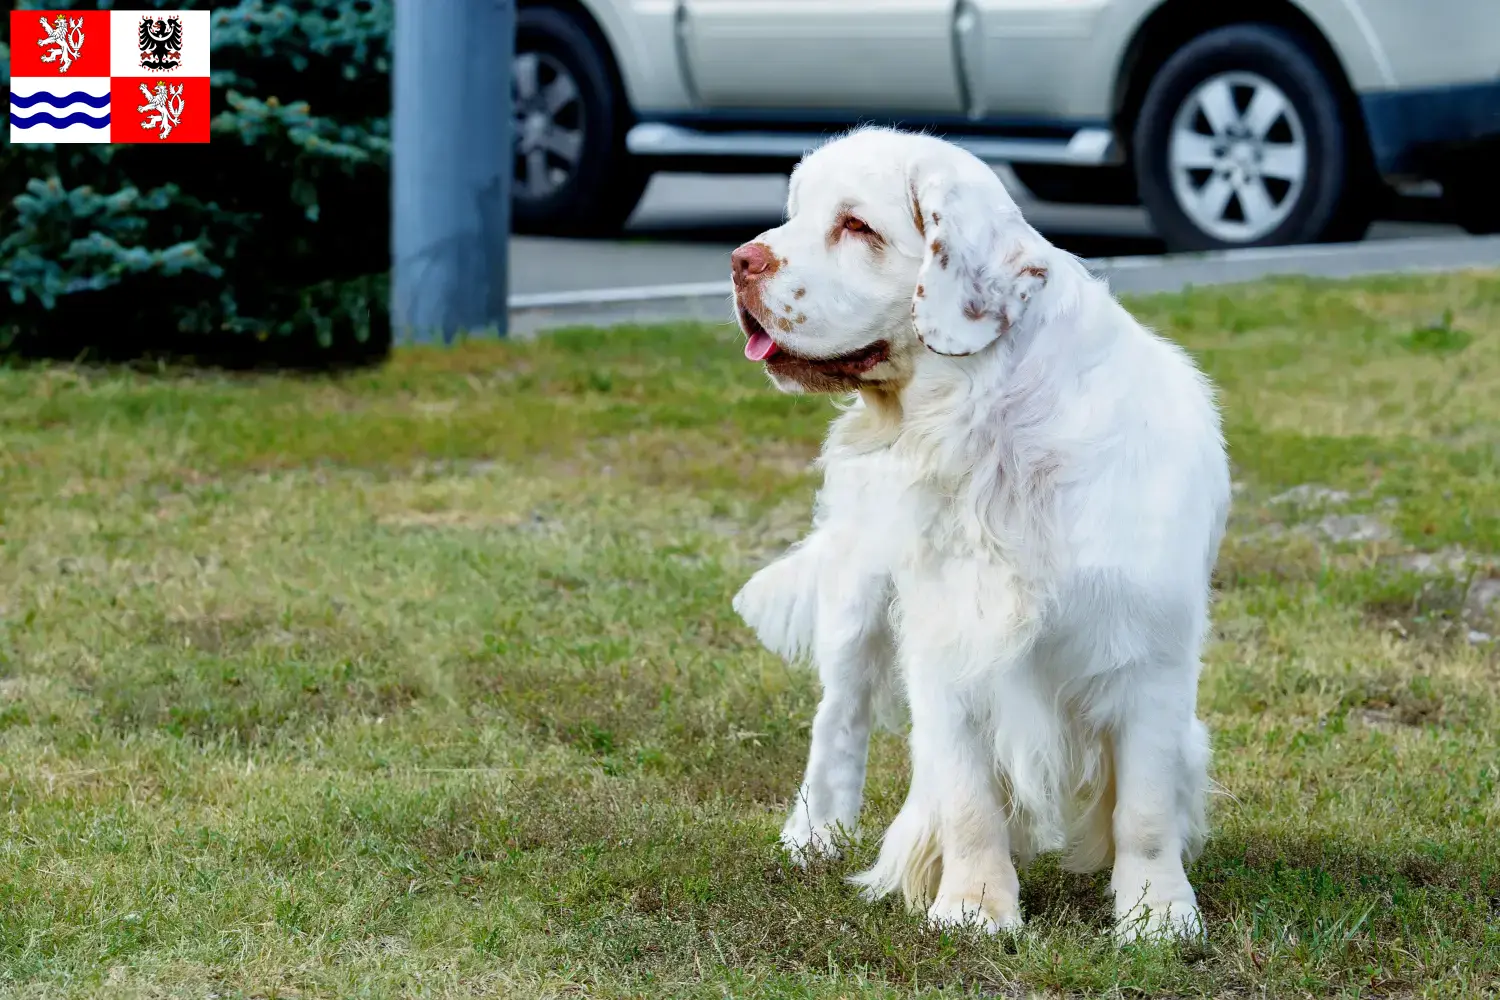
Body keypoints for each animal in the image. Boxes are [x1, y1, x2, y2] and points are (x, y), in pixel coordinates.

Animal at [729, 128, 1230, 941]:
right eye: (795, 213)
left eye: (856, 226)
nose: (741, 260)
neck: (993, 435)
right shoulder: (949, 640)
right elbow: (967, 798)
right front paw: (973, 907)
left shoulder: (1149, 652)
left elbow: (1147, 807)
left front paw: (1156, 916)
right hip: (859, 599)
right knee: (839, 718)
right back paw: (813, 837)